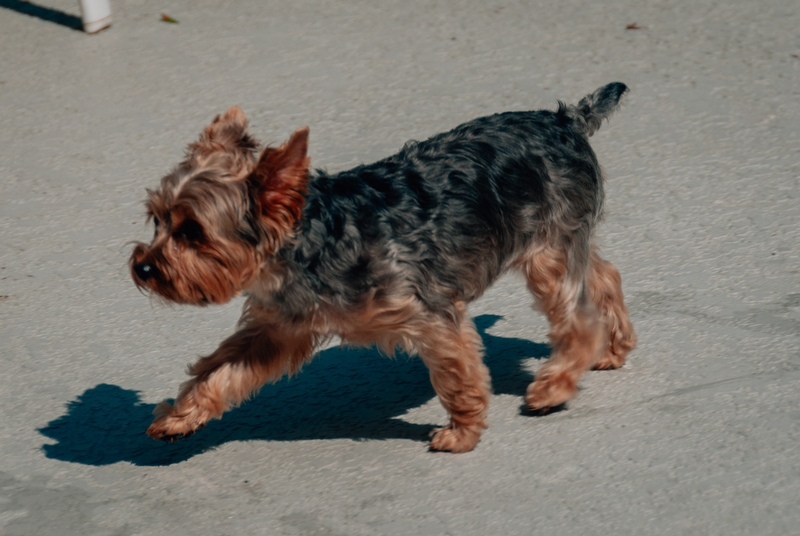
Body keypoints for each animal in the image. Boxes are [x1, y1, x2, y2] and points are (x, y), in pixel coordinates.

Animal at [131, 84, 636, 452]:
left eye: (192, 232)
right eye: (156, 220)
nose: (142, 268)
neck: (309, 244)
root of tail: (565, 120)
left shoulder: (430, 315)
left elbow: (457, 376)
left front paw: (461, 433)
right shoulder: (280, 330)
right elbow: (218, 373)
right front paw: (178, 416)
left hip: (547, 251)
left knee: (579, 319)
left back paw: (553, 388)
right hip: (560, 242)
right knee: (604, 275)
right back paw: (614, 348)